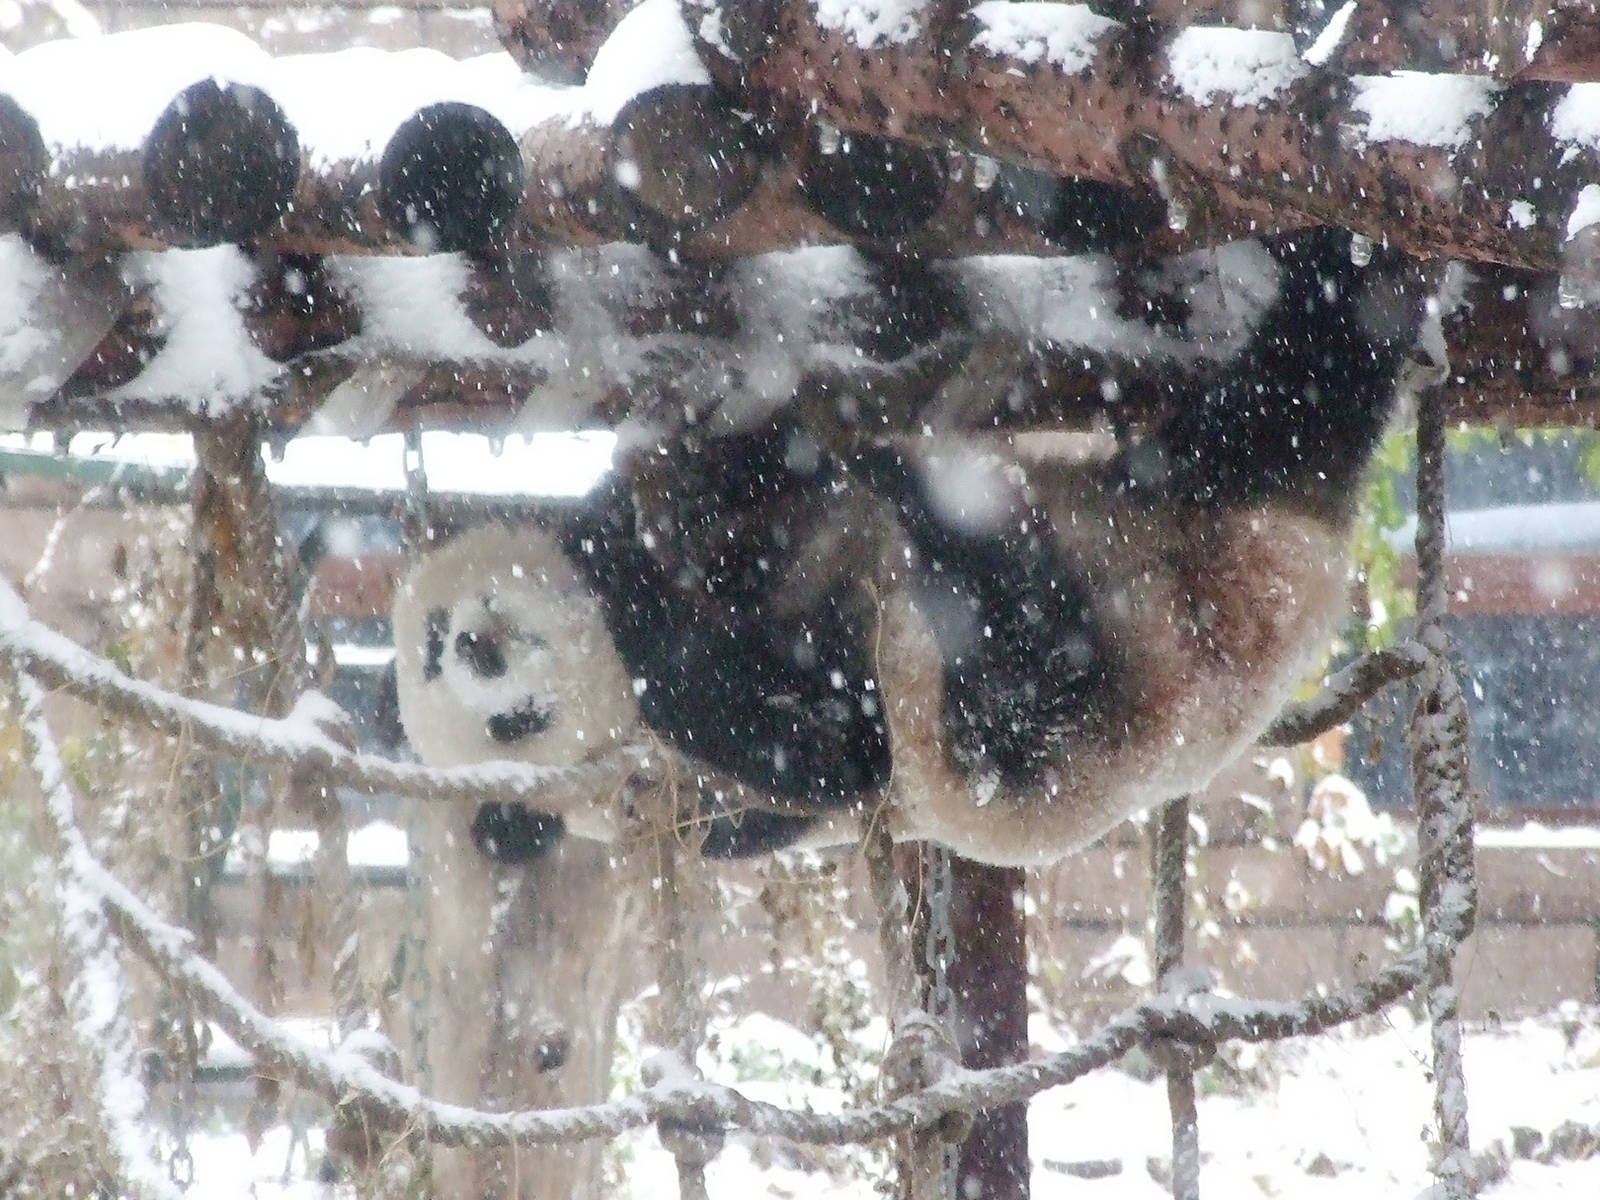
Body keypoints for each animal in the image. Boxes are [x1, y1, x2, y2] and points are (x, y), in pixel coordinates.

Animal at [393, 226, 1427, 867]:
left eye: (437, 638)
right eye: (512, 727)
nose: (479, 646)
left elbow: (720, 470)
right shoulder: (723, 762)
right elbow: (828, 751)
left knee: (1291, 388)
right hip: (1059, 726)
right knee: (1027, 638)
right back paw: (935, 497)